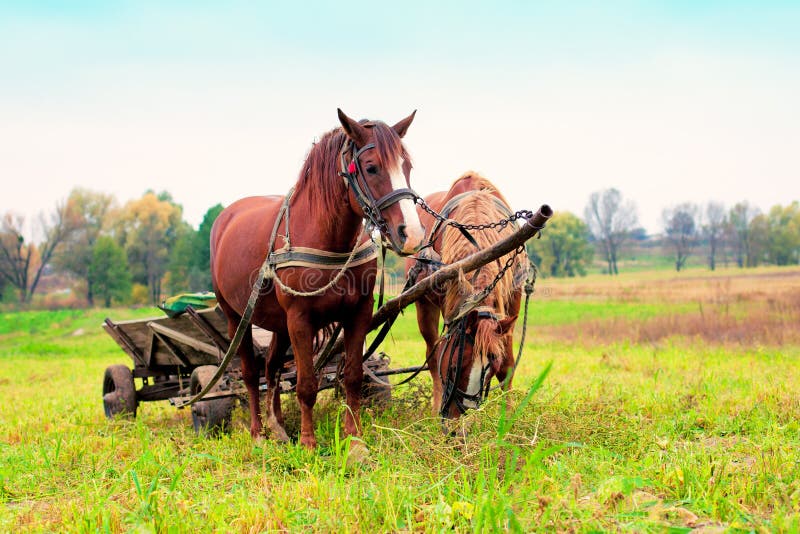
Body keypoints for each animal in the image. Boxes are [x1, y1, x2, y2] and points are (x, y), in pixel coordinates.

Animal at [211, 109, 424, 449]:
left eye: (407, 167)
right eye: (371, 167)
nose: (412, 234)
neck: (329, 239)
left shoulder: (358, 313)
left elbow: (353, 375)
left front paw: (354, 436)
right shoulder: (300, 318)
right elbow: (306, 383)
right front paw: (309, 442)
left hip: (277, 324)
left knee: (272, 369)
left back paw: (279, 427)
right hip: (236, 319)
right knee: (250, 374)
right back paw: (258, 433)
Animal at [406, 172, 528, 419]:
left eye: (491, 365)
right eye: (454, 364)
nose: (459, 413)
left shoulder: (511, 303)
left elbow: (508, 365)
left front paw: (508, 414)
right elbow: (438, 357)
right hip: (423, 303)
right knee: (432, 353)